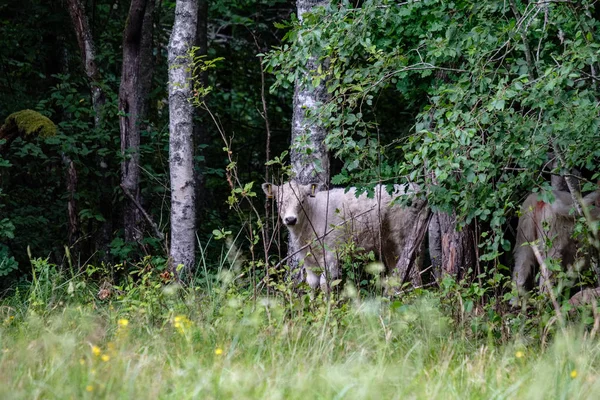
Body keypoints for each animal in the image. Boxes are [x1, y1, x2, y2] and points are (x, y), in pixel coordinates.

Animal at [262, 181, 426, 290]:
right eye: (280, 202)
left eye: (302, 201)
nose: (290, 219)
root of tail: (416, 188)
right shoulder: (307, 259)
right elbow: (313, 284)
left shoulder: (331, 255)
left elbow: (325, 284)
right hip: (388, 244)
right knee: (396, 271)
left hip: (406, 236)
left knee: (413, 270)